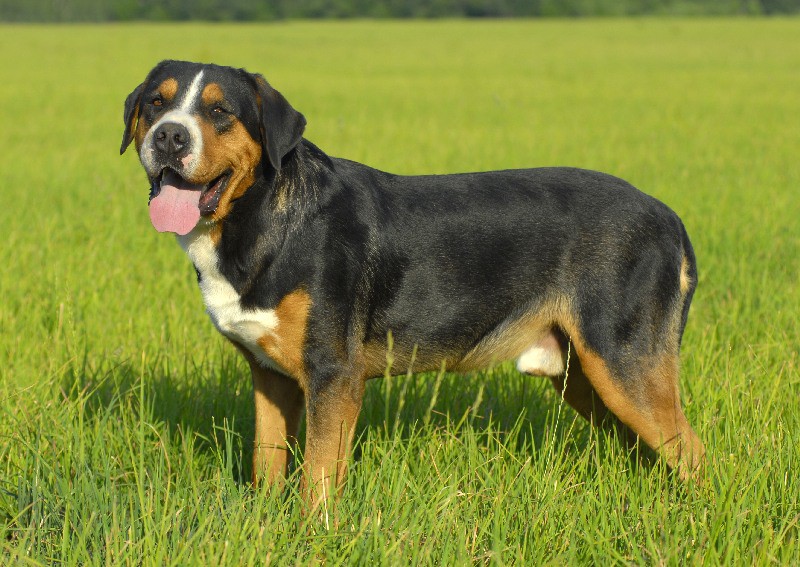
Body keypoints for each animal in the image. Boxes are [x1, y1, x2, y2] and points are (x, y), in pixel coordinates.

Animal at [120, 60, 708, 500]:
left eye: (220, 111)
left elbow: (319, 478)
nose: (170, 137)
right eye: (156, 103)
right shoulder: (270, 376)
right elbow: (268, 463)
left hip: (624, 362)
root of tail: (668, 215)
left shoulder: (333, 374)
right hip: (586, 378)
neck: (262, 218)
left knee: (692, 452)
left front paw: (315, 536)